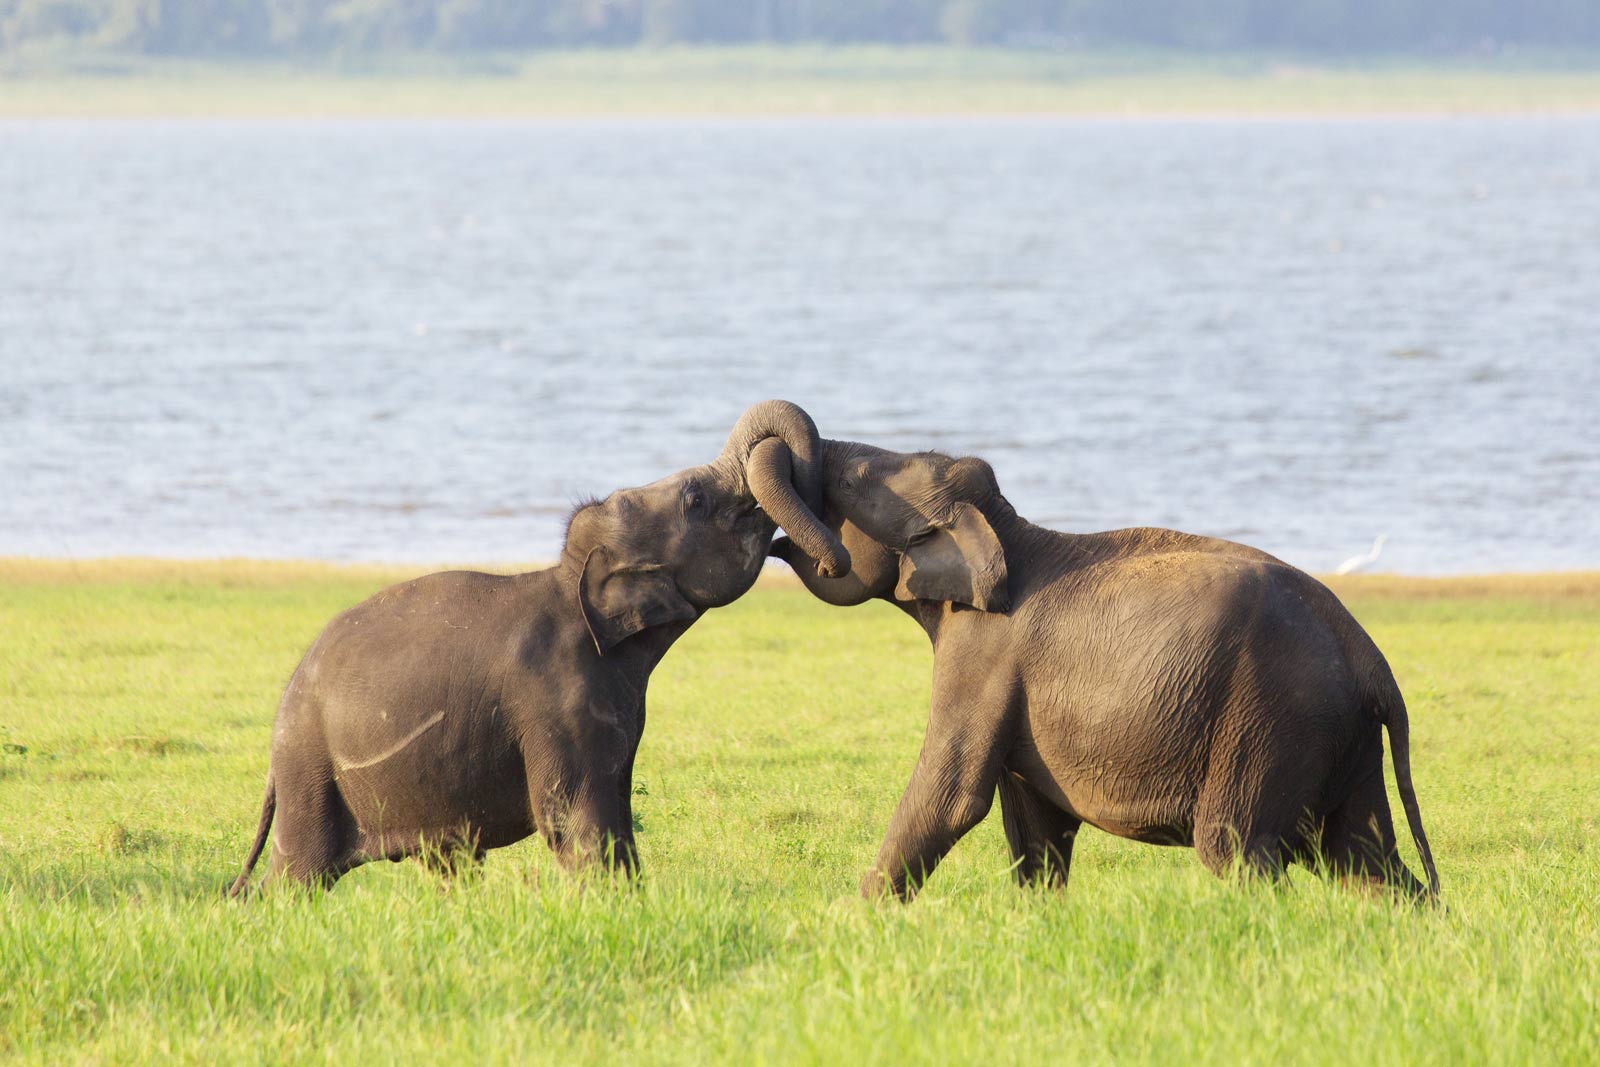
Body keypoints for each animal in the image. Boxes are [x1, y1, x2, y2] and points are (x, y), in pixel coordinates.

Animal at [228, 399, 851, 895]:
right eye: (695, 499)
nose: (827, 559)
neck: (570, 578)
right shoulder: (555, 701)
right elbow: (573, 820)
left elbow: (617, 810)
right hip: (312, 771)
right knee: (298, 875)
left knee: (450, 861)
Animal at [768, 438, 1446, 908]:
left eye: (850, 479)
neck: (1008, 530)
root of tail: (1372, 660)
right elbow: (1035, 830)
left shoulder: (982, 653)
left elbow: (952, 797)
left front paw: (848, 924)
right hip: (1341, 737)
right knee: (1364, 860)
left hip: (1273, 721)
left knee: (1237, 851)